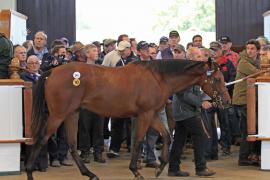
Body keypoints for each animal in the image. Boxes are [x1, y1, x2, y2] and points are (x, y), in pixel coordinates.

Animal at [26, 59, 231, 180]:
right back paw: (29, 172)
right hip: (58, 115)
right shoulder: (145, 115)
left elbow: (167, 136)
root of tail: (52, 72)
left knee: (71, 144)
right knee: (41, 140)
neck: (159, 78)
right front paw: (136, 170)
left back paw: (90, 174)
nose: (227, 102)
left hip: (72, 114)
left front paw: (159, 168)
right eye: (218, 79)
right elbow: (139, 141)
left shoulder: (152, 115)